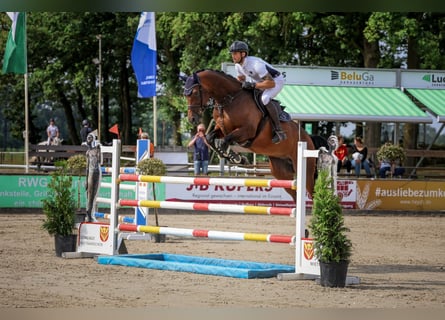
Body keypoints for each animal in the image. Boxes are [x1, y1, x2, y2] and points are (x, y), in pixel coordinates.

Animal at [184, 69, 316, 199]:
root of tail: (308, 138)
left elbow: (224, 141)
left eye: (195, 93)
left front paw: (236, 157)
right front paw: (235, 157)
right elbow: (210, 138)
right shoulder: (221, 129)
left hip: (305, 168)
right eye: (185, 95)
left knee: (312, 192)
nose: (192, 119)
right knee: (294, 192)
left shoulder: (248, 130)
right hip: (280, 170)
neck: (229, 100)